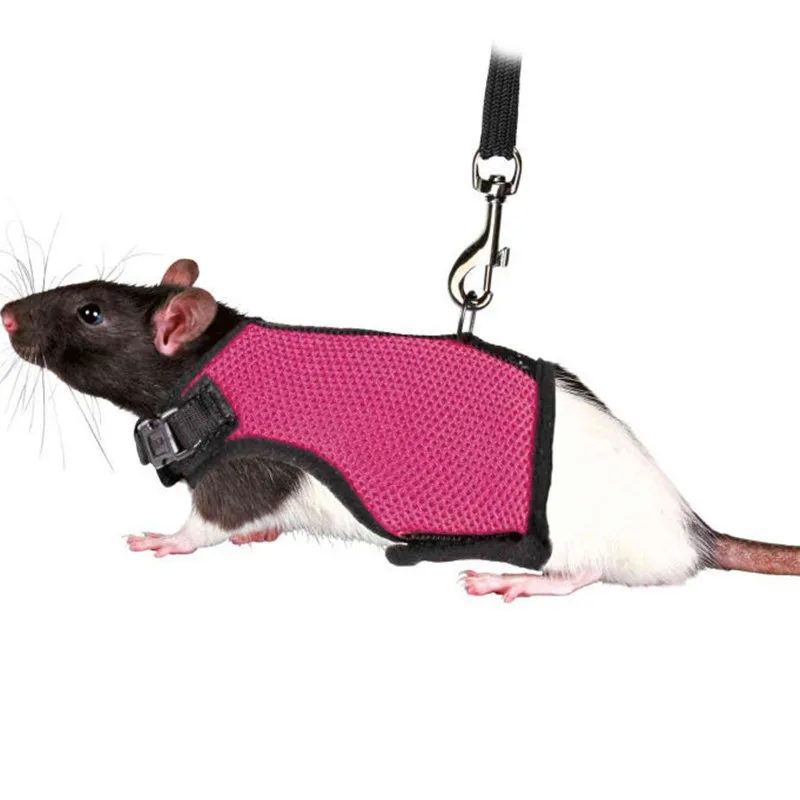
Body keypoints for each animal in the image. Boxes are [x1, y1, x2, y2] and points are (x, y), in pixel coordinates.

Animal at [3, 258, 798, 601]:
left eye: (90, 313)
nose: (7, 314)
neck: (206, 362)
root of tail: (686, 530)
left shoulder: (246, 469)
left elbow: (215, 518)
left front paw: (168, 539)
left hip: (587, 540)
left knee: (587, 574)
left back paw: (524, 582)